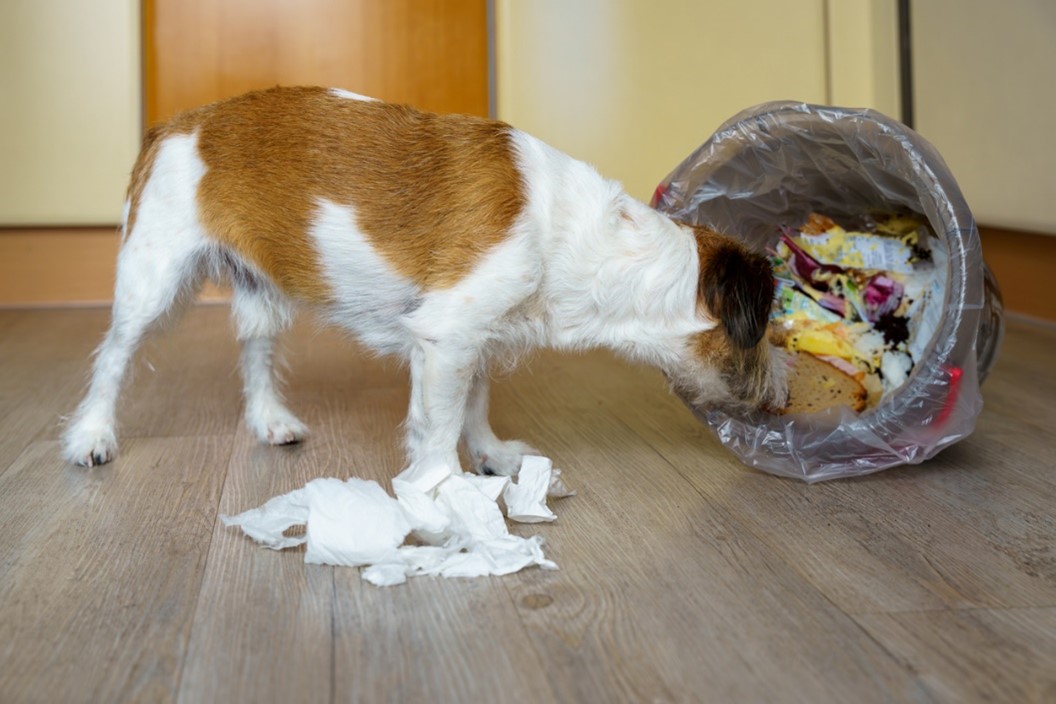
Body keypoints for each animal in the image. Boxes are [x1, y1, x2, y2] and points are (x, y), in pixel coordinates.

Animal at [61, 85, 789, 477]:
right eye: (768, 331)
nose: (785, 398)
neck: (595, 240)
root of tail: (177, 122)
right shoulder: (448, 335)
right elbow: (438, 427)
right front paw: (443, 490)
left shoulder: (474, 340)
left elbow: (474, 404)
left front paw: (490, 455)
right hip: (153, 280)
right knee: (113, 357)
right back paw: (92, 434)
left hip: (263, 287)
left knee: (256, 350)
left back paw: (271, 420)